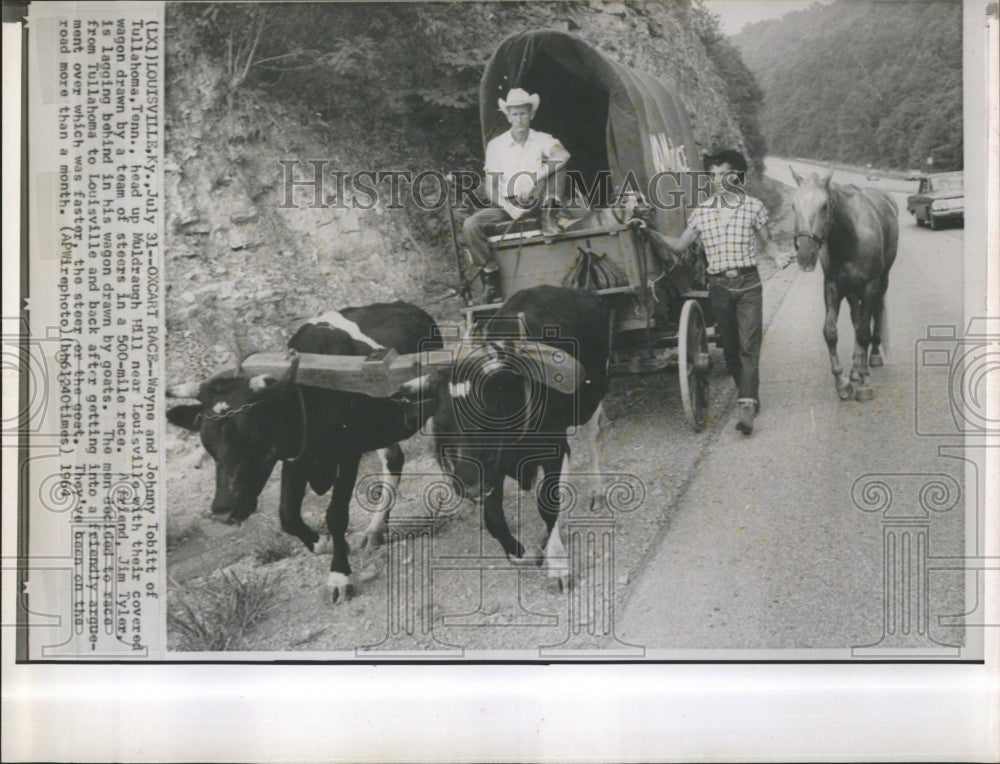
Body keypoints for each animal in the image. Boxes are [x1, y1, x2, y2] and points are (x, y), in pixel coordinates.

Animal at [788, 166, 900, 400]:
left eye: (824, 205)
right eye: (793, 205)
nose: (805, 254)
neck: (851, 237)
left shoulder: (870, 287)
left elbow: (864, 333)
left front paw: (865, 384)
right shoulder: (833, 288)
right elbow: (831, 332)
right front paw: (842, 382)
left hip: (881, 283)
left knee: (875, 313)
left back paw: (872, 357)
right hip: (851, 291)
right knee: (856, 318)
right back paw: (856, 368)